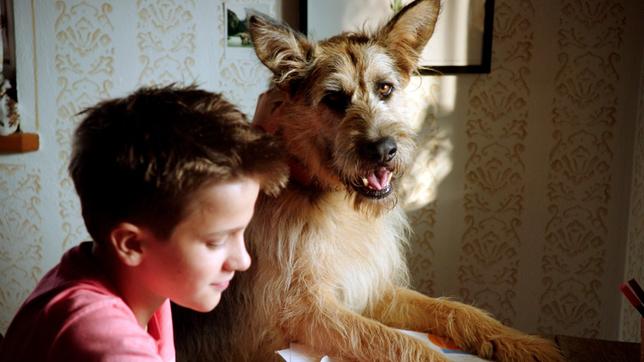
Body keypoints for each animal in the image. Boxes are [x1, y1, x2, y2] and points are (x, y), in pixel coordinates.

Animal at [175, 1, 564, 360]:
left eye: (386, 88)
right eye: (333, 98)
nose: (384, 150)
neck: (331, 199)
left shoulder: (369, 289)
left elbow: (452, 308)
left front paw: (522, 342)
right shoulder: (304, 312)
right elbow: (395, 341)